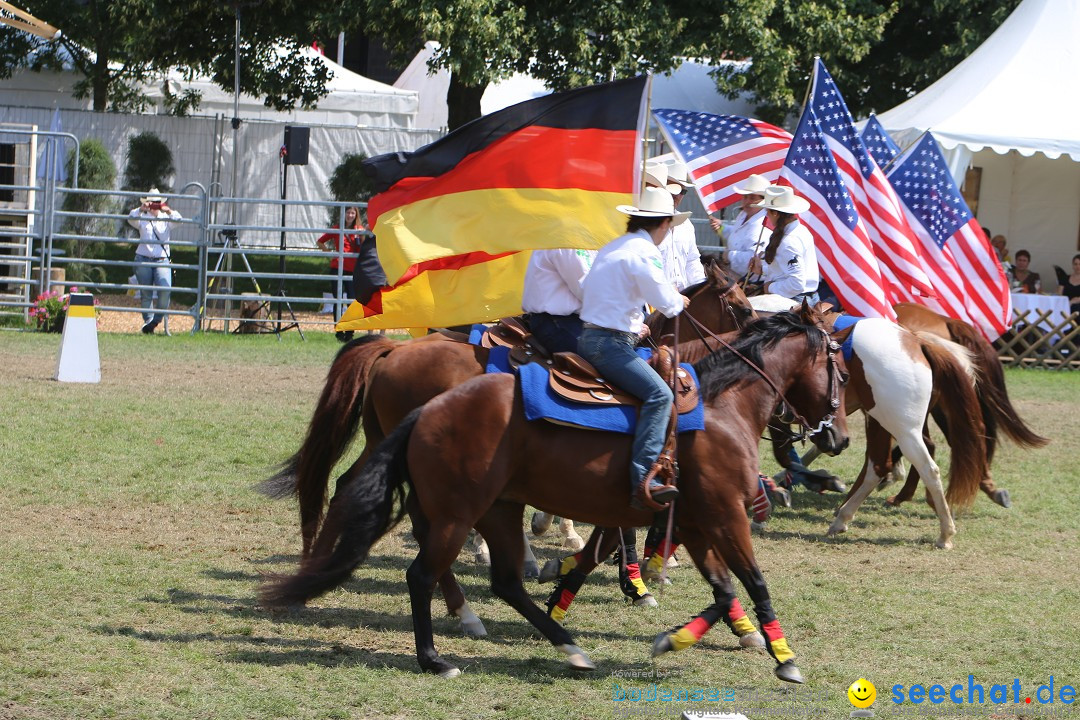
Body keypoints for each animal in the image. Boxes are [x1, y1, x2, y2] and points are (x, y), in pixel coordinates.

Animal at [261, 310, 851, 682]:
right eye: (842, 370)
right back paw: (438, 654)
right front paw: (783, 656)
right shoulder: (725, 517)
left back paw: (568, 647)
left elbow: (723, 588)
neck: (723, 408)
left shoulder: (695, 521)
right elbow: (751, 580)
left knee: (502, 580)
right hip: (457, 511)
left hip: (495, 507)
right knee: (422, 573)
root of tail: (430, 406)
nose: (839, 438)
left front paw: (678, 635)